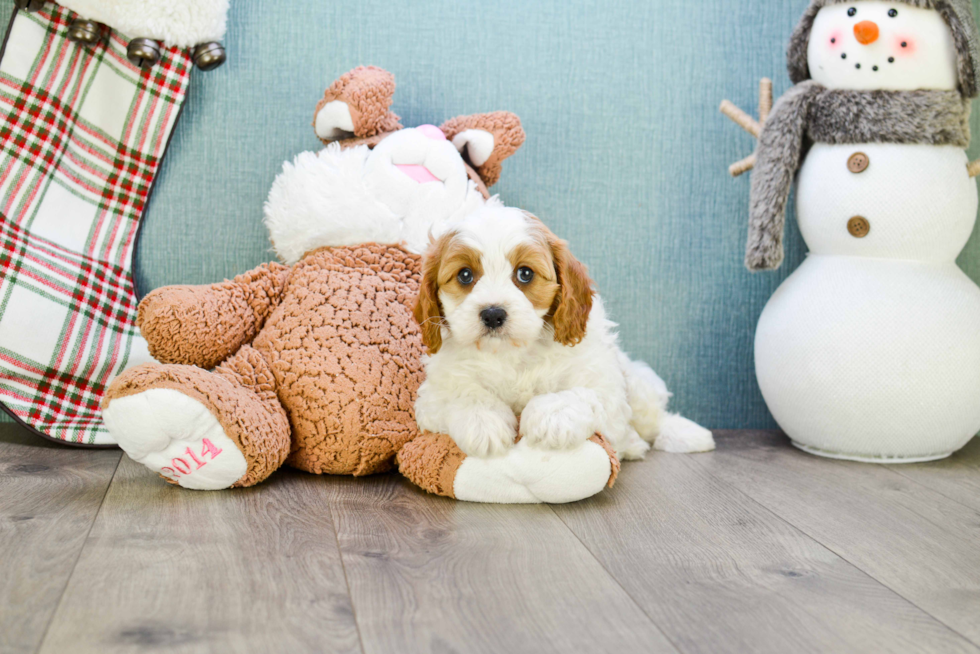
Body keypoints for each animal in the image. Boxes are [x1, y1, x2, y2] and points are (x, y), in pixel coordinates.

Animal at [414, 206, 712, 462]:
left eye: (525, 273)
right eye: (464, 275)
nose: (493, 314)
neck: (513, 353)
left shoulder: (603, 386)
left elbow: (577, 395)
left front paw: (551, 417)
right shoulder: (434, 394)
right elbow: (464, 394)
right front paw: (483, 423)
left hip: (639, 385)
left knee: (654, 420)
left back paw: (685, 435)